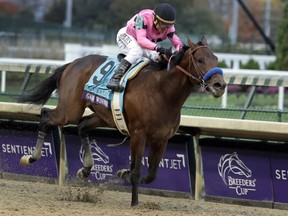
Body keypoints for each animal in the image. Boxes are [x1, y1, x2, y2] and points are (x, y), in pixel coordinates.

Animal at [18, 36, 226, 206]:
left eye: (216, 59)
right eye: (200, 60)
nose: (220, 85)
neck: (162, 92)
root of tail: (73, 63)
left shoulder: (162, 139)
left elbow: (151, 175)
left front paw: (123, 174)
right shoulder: (138, 135)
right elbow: (137, 171)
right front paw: (134, 202)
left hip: (103, 116)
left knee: (82, 126)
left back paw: (85, 170)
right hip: (69, 110)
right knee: (46, 116)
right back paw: (31, 157)